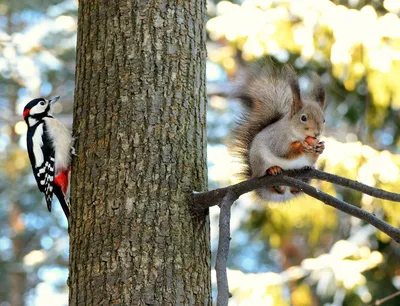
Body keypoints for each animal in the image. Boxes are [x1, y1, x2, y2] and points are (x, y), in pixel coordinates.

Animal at [230, 62, 326, 203]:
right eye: (303, 118)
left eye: (324, 120)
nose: (317, 133)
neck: (296, 134)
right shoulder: (277, 139)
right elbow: (282, 151)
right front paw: (301, 146)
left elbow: (311, 157)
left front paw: (320, 147)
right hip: (260, 161)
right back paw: (273, 170)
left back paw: (295, 186)